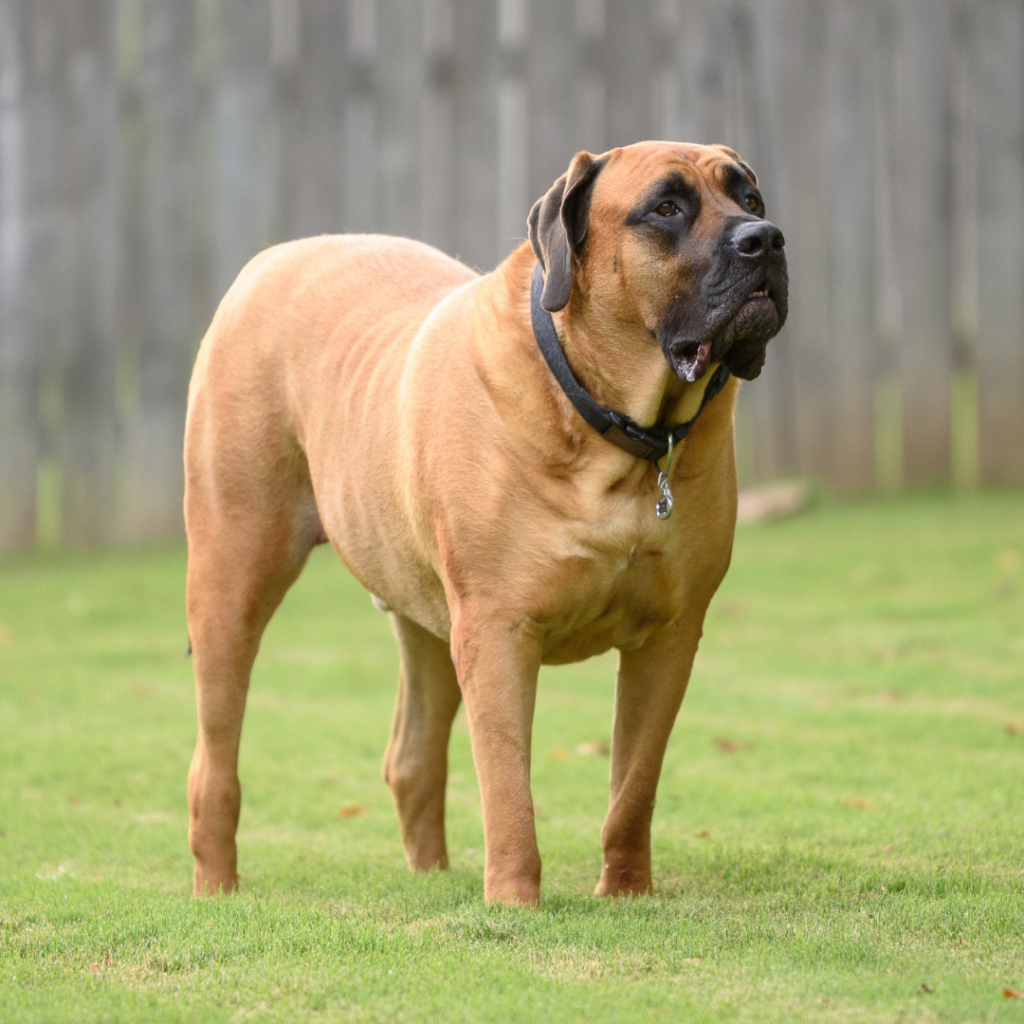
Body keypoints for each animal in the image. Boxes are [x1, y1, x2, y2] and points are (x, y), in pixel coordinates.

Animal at [184, 138, 786, 905]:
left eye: (751, 198)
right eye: (666, 207)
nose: (766, 239)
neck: (616, 431)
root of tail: (268, 261)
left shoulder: (670, 635)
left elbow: (633, 784)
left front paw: (626, 891)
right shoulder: (497, 629)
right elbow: (507, 787)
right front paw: (513, 902)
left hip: (425, 615)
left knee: (411, 756)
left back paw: (432, 875)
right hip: (231, 576)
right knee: (215, 759)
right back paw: (216, 884)